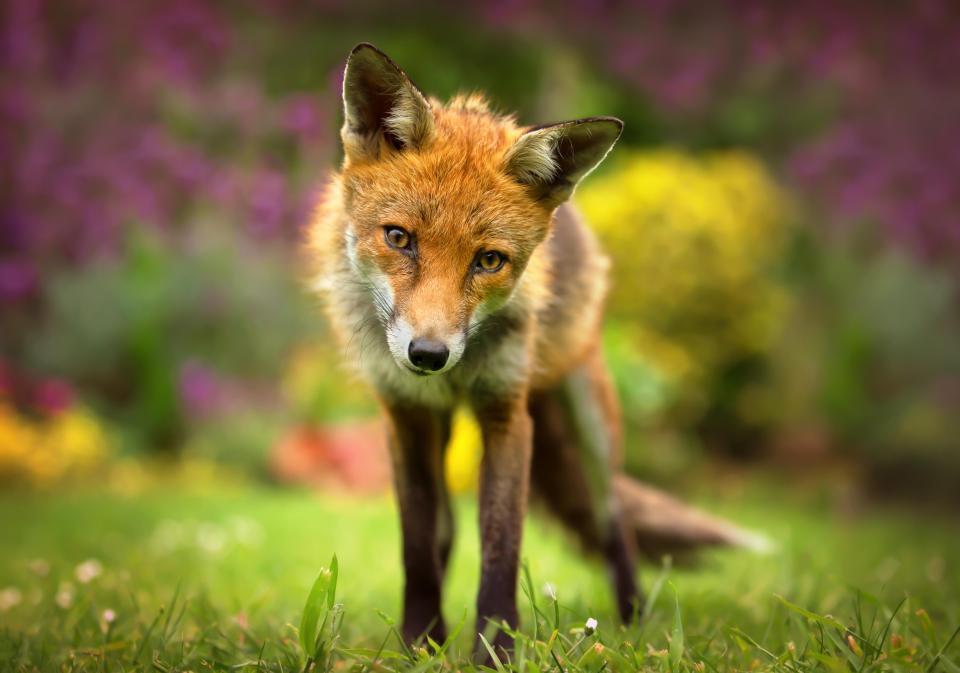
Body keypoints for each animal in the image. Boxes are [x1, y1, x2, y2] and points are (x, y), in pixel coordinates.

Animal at [308, 42, 764, 652]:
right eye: (399, 238)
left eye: (489, 260)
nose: (428, 355)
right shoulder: (405, 416)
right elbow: (419, 546)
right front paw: (419, 642)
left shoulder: (507, 412)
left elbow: (502, 545)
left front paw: (495, 650)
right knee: (447, 531)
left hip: (590, 416)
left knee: (614, 518)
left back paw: (633, 620)